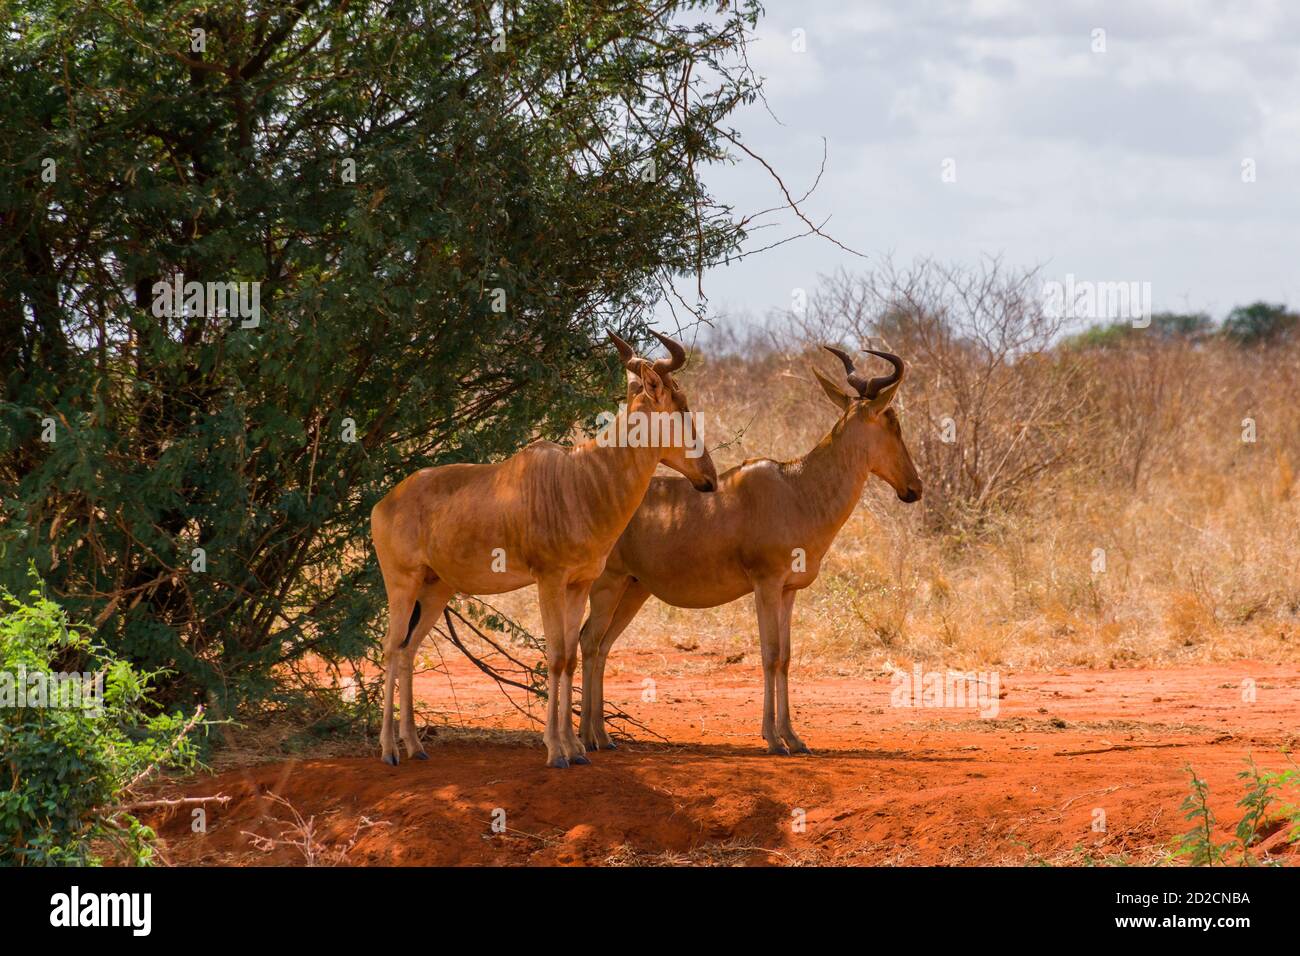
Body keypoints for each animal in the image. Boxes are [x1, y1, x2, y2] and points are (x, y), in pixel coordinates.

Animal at [371, 332, 717, 764]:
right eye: (680, 406)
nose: (709, 478)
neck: (578, 478)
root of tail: (384, 502)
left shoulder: (579, 584)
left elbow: (569, 657)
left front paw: (576, 749)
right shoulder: (549, 580)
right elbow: (553, 657)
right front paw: (555, 751)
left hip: (437, 588)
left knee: (407, 650)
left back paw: (415, 746)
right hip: (402, 583)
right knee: (389, 648)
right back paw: (388, 750)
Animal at [579, 348, 925, 759]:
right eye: (893, 422)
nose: (915, 487)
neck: (795, 488)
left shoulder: (789, 591)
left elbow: (786, 657)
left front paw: (794, 737)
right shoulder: (766, 584)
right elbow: (770, 654)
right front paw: (774, 740)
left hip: (634, 589)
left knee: (602, 645)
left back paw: (603, 737)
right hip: (608, 583)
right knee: (588, 640)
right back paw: (585, 739)